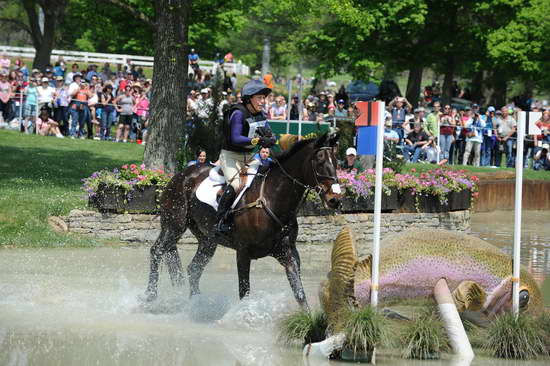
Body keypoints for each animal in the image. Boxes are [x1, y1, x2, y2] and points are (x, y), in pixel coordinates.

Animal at [146, 132, 344, 308]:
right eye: (319, 162)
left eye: (336, 162)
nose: (335, 200)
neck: (273, 199)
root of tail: (182, 174)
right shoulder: (243, 252)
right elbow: (244, 292)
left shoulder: (287, 253)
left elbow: (299, 293)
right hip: (174, 226)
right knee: (157, 251)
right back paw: (150, 298)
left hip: (207, 239)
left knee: (193, 269)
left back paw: (196, 304)